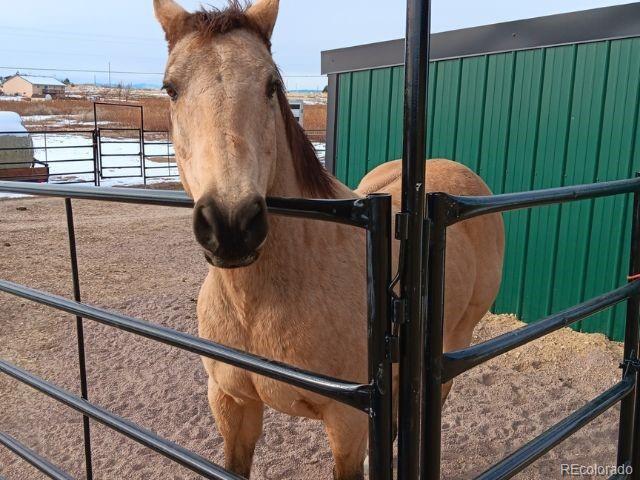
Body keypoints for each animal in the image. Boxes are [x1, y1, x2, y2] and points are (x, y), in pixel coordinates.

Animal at [152, 1, 502, 478]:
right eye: (171, 89)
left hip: (455, 345)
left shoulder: (347, 421)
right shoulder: (230, 403)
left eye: (271, 84)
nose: (231, 224)